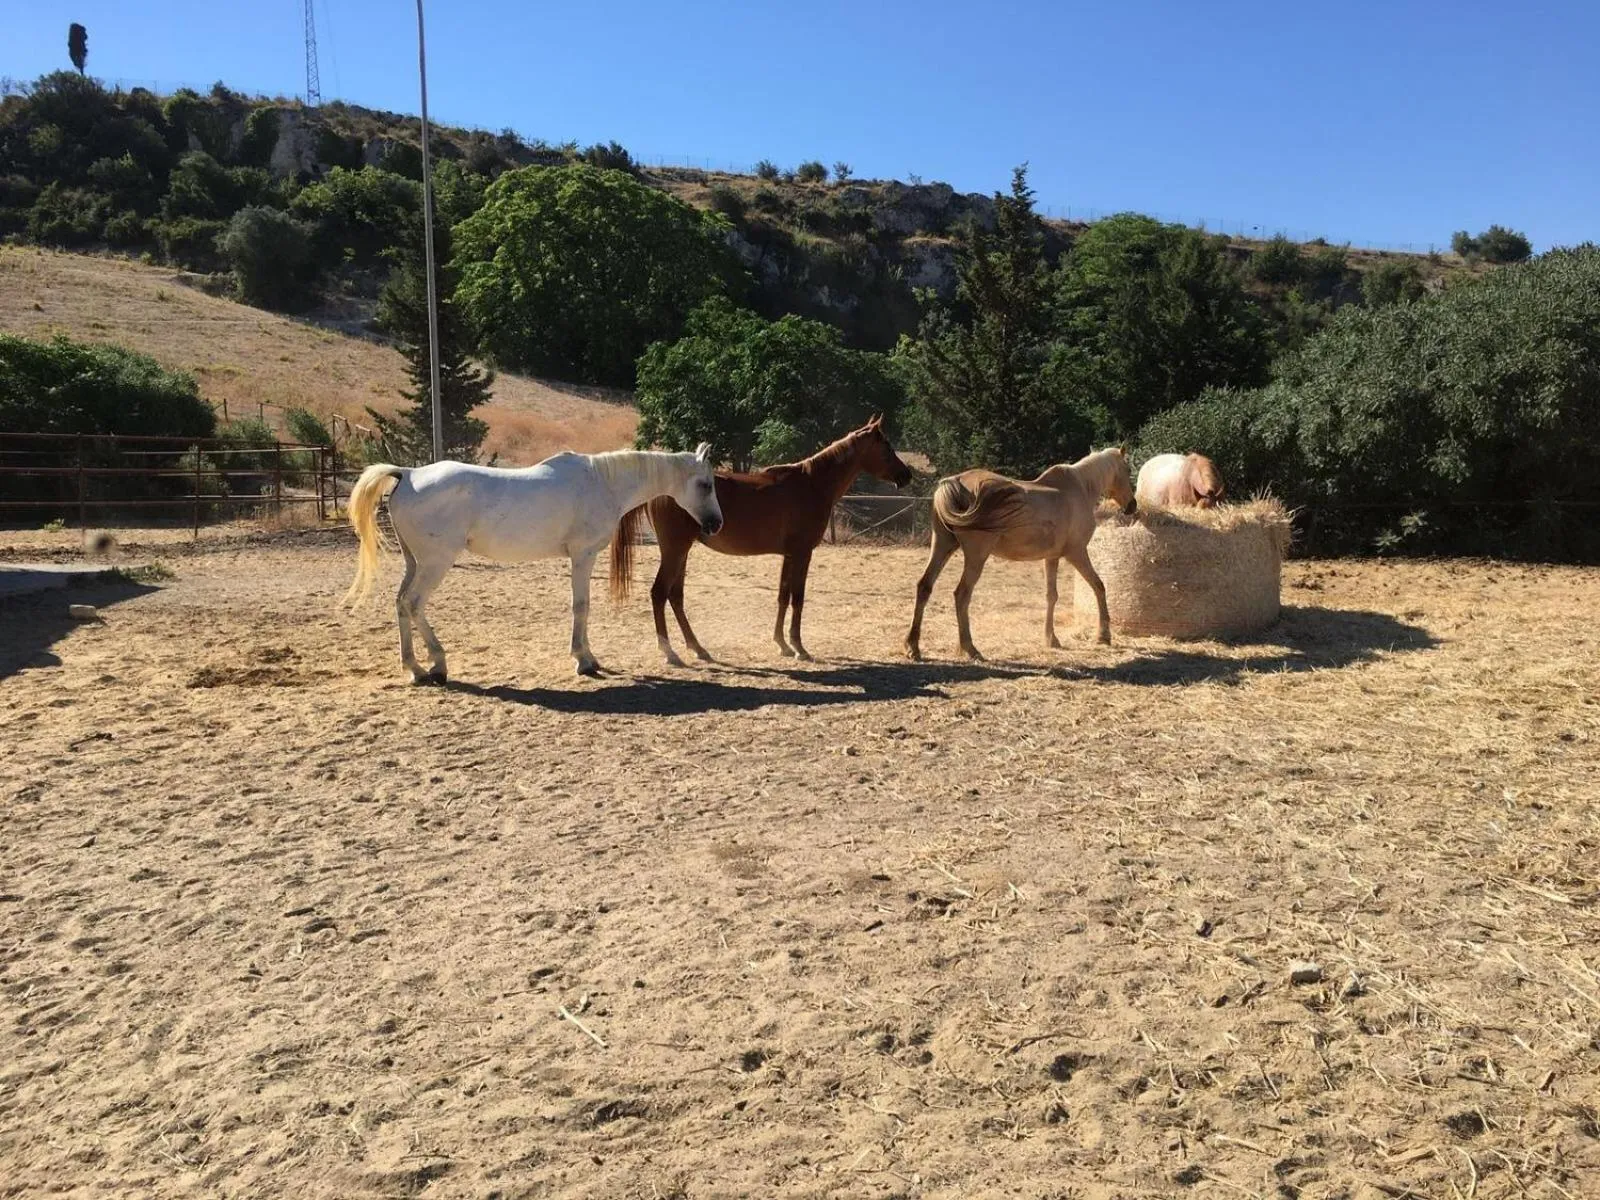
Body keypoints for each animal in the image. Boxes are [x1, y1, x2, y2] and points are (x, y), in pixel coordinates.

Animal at [344, 446, 722, 682]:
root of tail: (407, 474)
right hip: (436, 563)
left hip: (414, 563)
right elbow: (581, 606)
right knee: (413, 604)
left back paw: (413, 667)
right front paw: (584, 661)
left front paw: (586, 656)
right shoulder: (583, 556)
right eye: (705, 484)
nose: (716, 524)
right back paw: (436, 664)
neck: (601, 482)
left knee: (400, 604)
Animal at [610, 417, 913, 665]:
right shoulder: (802, 553)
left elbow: (782, 595)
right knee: (659, 593)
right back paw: (670, 652)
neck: (813, 484)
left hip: (681, 552)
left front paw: (782, 644)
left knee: (675, 596)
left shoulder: (789, 555)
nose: (906, 475)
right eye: (886, 448)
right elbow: (798, 597)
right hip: (675, 550)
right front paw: (799, 647)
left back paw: (698, 648)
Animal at [905, 447, 1136, 662]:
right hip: (976, 556)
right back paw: (970, 648)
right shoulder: (1077, 553)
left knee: (924, 586)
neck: (1080, 488)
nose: (1132, 505)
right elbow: (1099, 586)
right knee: (961, 594)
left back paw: (913, 646)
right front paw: (1103, 636)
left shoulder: (1051, 558)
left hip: (942, 545)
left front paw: (1051, 639)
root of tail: (955, 482)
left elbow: (1051, 596)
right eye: (1128, 469)